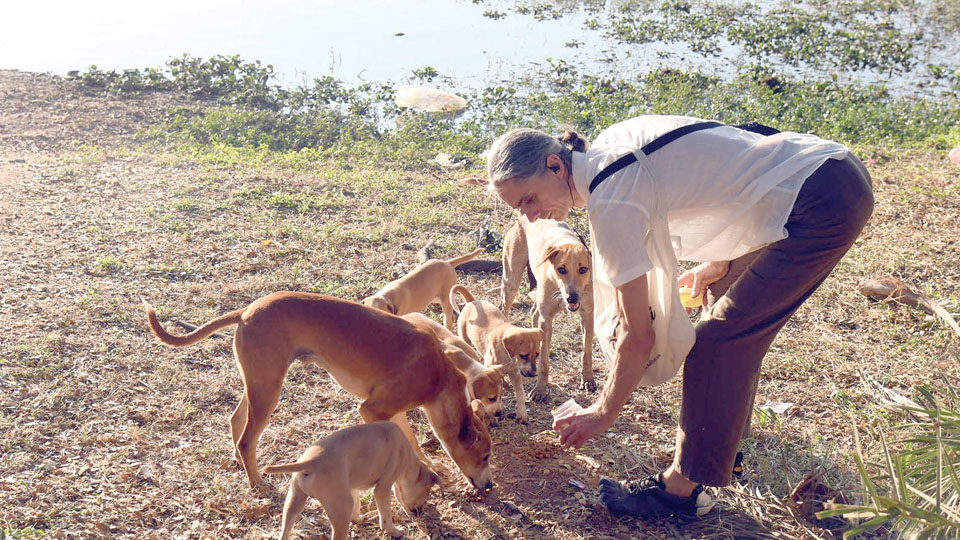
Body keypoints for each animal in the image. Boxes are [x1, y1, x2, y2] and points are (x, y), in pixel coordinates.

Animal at [144, 292, 492, 492]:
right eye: (485, 455)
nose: (489, 486)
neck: (439, 375)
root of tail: (245, 312)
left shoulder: (392, 411)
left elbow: (412, 442)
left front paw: (428, 465)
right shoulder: (372, 410)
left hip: (258, 384)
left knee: (236, 422)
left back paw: (241, 464)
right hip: (268, 391)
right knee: (246, 439)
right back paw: (257, 483)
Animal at [261, 421, 438, 540]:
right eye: (425, 493)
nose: (418, 512)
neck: (408, 456)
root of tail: (310, 462)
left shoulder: (353, 488)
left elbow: (357, 506)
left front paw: (359, 519)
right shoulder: (382, 489)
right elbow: (386, 515)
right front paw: (394, 531)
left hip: (294, 502)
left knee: (285, 529)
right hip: (340, 508)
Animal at [449, 285, 543, 424]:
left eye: (537, 354)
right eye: (524, 355)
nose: (533, 374)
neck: (505, 353)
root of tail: (473, 301)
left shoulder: (515, 373)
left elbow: (519, 393)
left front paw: (522, 413)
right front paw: (499, 406)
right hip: (463, 336)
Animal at [502, 216, 595, 402]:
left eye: (583, 269)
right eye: (561, 269)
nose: (572, 298)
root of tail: (523, 217)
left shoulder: (588, 316)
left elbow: (586, 353)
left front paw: (588, 380)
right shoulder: (547, 320)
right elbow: (544, 362)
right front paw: (540, 389)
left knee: (533, 313)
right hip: (511, 281)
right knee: (504, 309)